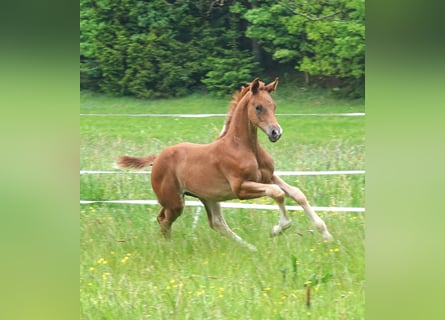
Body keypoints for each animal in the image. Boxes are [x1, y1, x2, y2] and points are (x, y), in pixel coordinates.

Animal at [116, 77, 332, 250]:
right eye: (258, 107)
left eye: (274, 105)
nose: (275, 133)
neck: (244, 147)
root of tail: (157, 158)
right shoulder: (241, 188)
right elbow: (277, 193)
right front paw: (277, 229)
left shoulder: (268, 177)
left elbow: (297, 194)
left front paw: (326, 234)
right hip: (175, 201)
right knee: (163, 219)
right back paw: (170, 247)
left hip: (209, 197)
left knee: (217, 223)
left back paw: (250, 248)